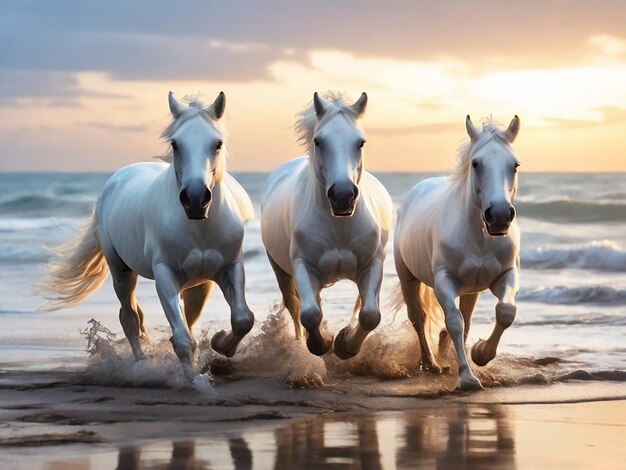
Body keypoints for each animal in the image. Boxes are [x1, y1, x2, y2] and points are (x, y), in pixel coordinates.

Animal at [39, 91, 254, 378]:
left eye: (217, 143)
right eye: (175, 144)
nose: (195, 199)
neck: (199, 228)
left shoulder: (228, 268)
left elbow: (242, 319)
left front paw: (220, 344)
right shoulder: (165, 274)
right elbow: (182, 339)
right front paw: (194, 381)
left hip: (198, 284)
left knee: (170, 317)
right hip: (121, 271)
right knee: (129, 317)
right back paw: (141, 364)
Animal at [260, 91, 392, 356]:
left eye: (360, 143)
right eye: (319, 141)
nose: (342, 195)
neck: (339, 226)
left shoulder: (373, 264)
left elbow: (370, 315)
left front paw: (345, 344)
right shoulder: (303, 265)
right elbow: (310, 314)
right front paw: (321, 343)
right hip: (280, 268)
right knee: (294, 306)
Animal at [392, 114, 520, 390]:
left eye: (514, 165)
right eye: (476, 163)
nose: (499, 216)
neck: (481, 238)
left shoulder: (506, 275)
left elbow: (505, 312)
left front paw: (480, 354)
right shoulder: (444, 279)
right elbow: (454, 322)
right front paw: (467, 377)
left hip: (471, 290)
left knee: (466, 319)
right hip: (408, 278)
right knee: (418, 318)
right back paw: (432, 364)